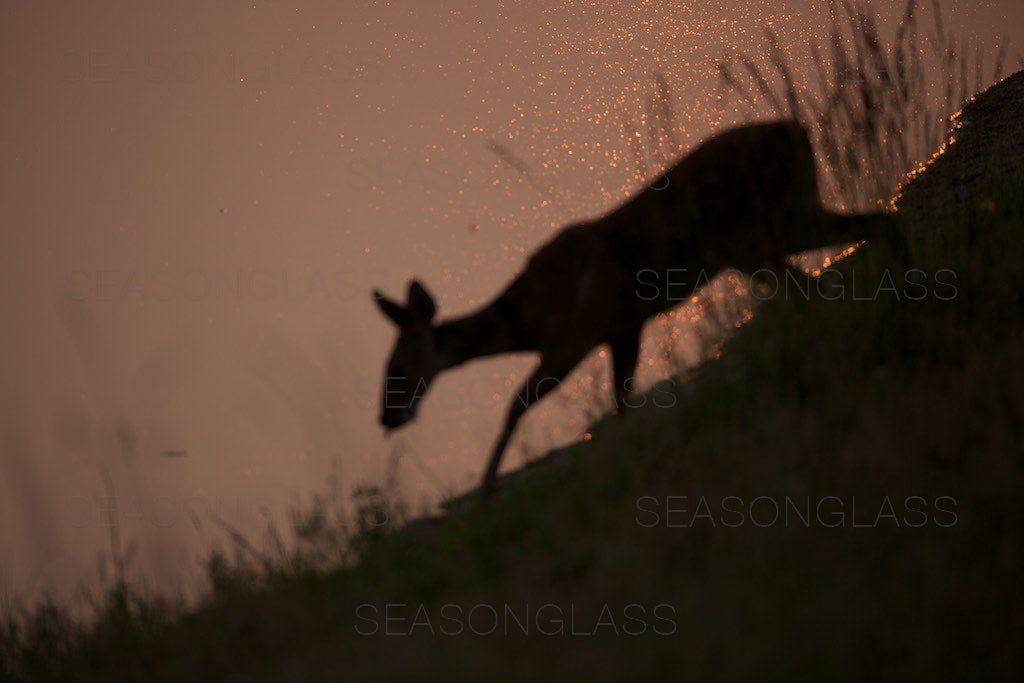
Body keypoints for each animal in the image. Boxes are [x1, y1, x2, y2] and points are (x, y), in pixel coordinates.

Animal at [370, 118, 905, 501]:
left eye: (399, 365)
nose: (386, 418)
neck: (528, 317)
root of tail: (794, 128)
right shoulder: (624, 328)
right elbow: (621, 401)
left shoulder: (577, 335)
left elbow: (518, 403)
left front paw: (486, 490)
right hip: (793, 216)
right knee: (877, 224)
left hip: (745, 237)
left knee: (814, 284)